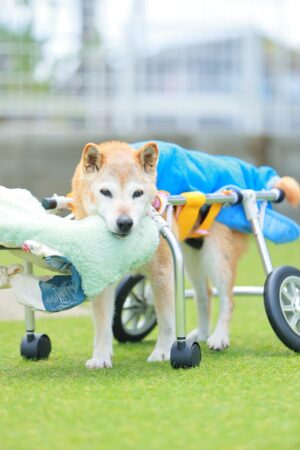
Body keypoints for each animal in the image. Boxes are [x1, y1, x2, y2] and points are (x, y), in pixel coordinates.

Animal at [71, 142, 298, 370]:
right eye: (105, 192)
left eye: (138, 193)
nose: (125, 223)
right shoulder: (104, 277)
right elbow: (102, 325)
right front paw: (101, 357)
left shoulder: (162, 270)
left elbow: (166, 320)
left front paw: (164, 352)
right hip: (191, 260)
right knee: (205, 295)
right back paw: (203, 334)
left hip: (215, 259)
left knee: (229, 299)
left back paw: (219, 337)